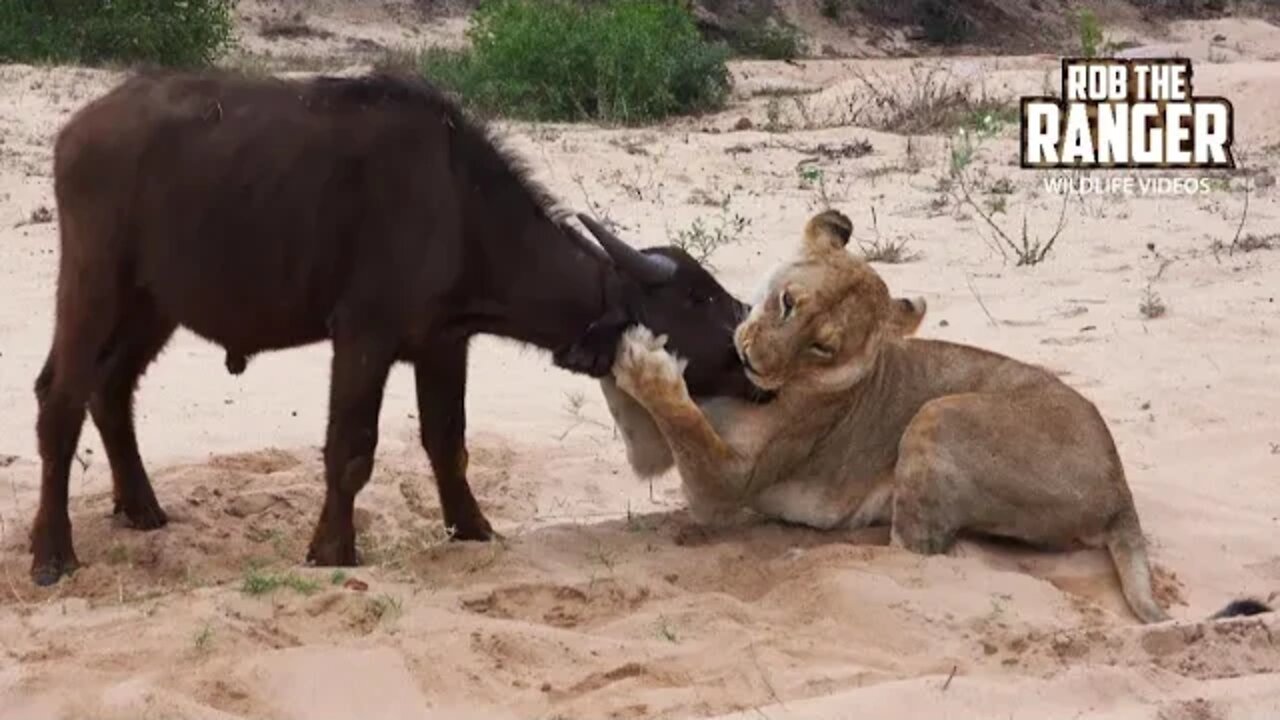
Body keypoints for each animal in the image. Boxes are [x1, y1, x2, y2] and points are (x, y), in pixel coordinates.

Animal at [29, 68, 761, 586]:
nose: (749, 343)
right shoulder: (364, 337)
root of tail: (77, 130)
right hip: (94, 285)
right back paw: (51, 552)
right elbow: (350, 448)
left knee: (110, 389)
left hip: (154, 305)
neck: (461, 211)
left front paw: (472, 529)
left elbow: (448, 443)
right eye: (699, 298)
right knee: (59, 399)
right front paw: (332, 550)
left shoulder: (444, 345)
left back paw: (140, 507)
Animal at [605, 209, 1271, 624]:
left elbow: (684, 422)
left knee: (916, 550)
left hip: (939, 412)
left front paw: (642, 359)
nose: (752, 362)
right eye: (787, 302)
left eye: (822, 347)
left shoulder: (723, 486)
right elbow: (651, 420)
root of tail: (1120, 488)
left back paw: (818, 552)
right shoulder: (656, 448)